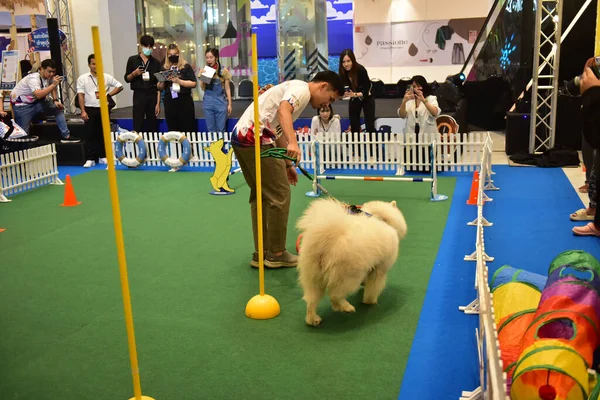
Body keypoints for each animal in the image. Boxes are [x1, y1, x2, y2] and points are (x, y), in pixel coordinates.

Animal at [296, 198, 408, 326]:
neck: (378, 217)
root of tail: (327, 238)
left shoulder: (370, 266)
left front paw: (365, 286)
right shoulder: (380, 269)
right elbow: (374, 287)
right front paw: (370, 300)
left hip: (313, 277)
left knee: (311, 300)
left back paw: (313, 319)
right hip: (349, 276)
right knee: (335, 295)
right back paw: (346, 307)